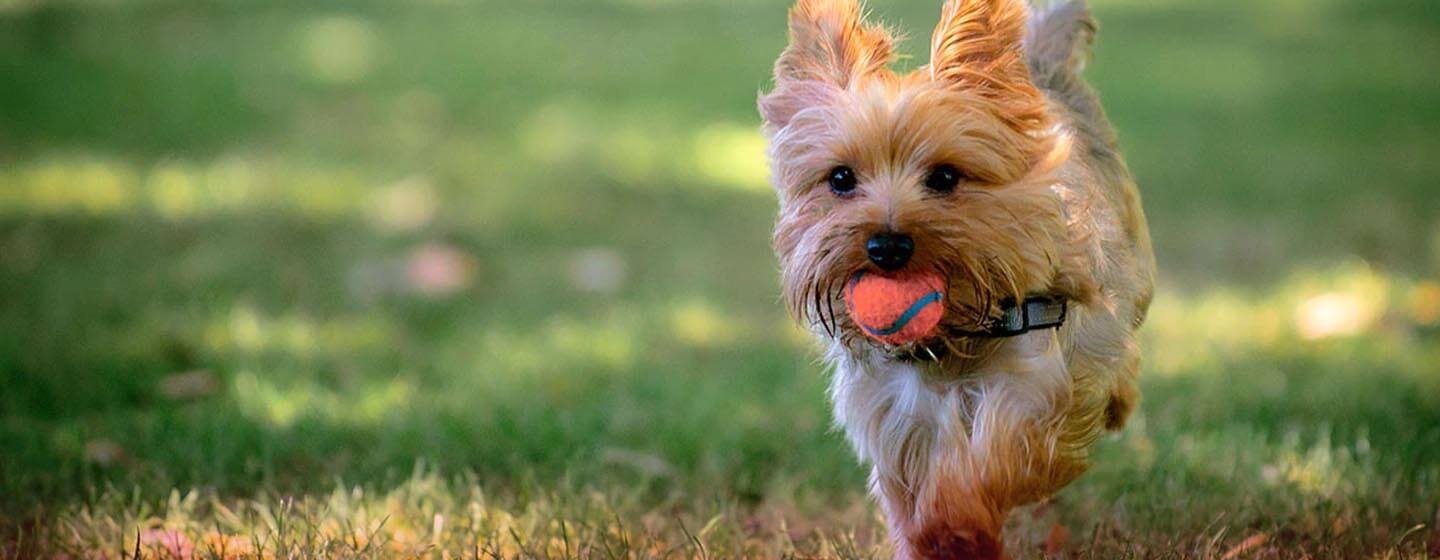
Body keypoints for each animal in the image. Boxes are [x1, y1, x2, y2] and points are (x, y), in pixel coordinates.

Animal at [754, 2, 1157, 555]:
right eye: (840, 178)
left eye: (945, 177)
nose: (887, 246)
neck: (950, 338)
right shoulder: (894, 413)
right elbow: (908, 490)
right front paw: (926, 537)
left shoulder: (1036, 378)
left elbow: (992, 460)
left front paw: (955, 525)